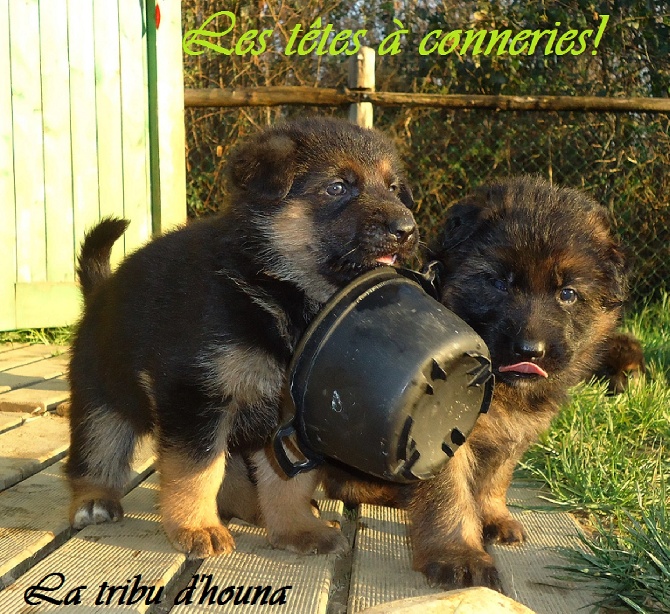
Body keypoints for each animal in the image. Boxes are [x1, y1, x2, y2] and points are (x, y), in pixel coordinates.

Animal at [64, 118, 420, 560]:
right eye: (337, 187)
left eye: (393, 187)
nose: (407, 230)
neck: (278, 290)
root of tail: (100, 291)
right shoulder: (196, 395)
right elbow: (196, 469)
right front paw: (196, 526)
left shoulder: (293, 417)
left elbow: (287, 482)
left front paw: (297, 528)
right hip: (103, 396)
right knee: (95, 449)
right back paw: (94, 499)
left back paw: (250, 507)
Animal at [326, 177, 632, 592]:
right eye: (498, 282)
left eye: (567, 294)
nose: (529, 350)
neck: (501, 389)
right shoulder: (440, 440)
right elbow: (450, 497)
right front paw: (459, 555)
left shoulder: (513, 435)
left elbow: (495, 479)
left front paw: (492, 516)